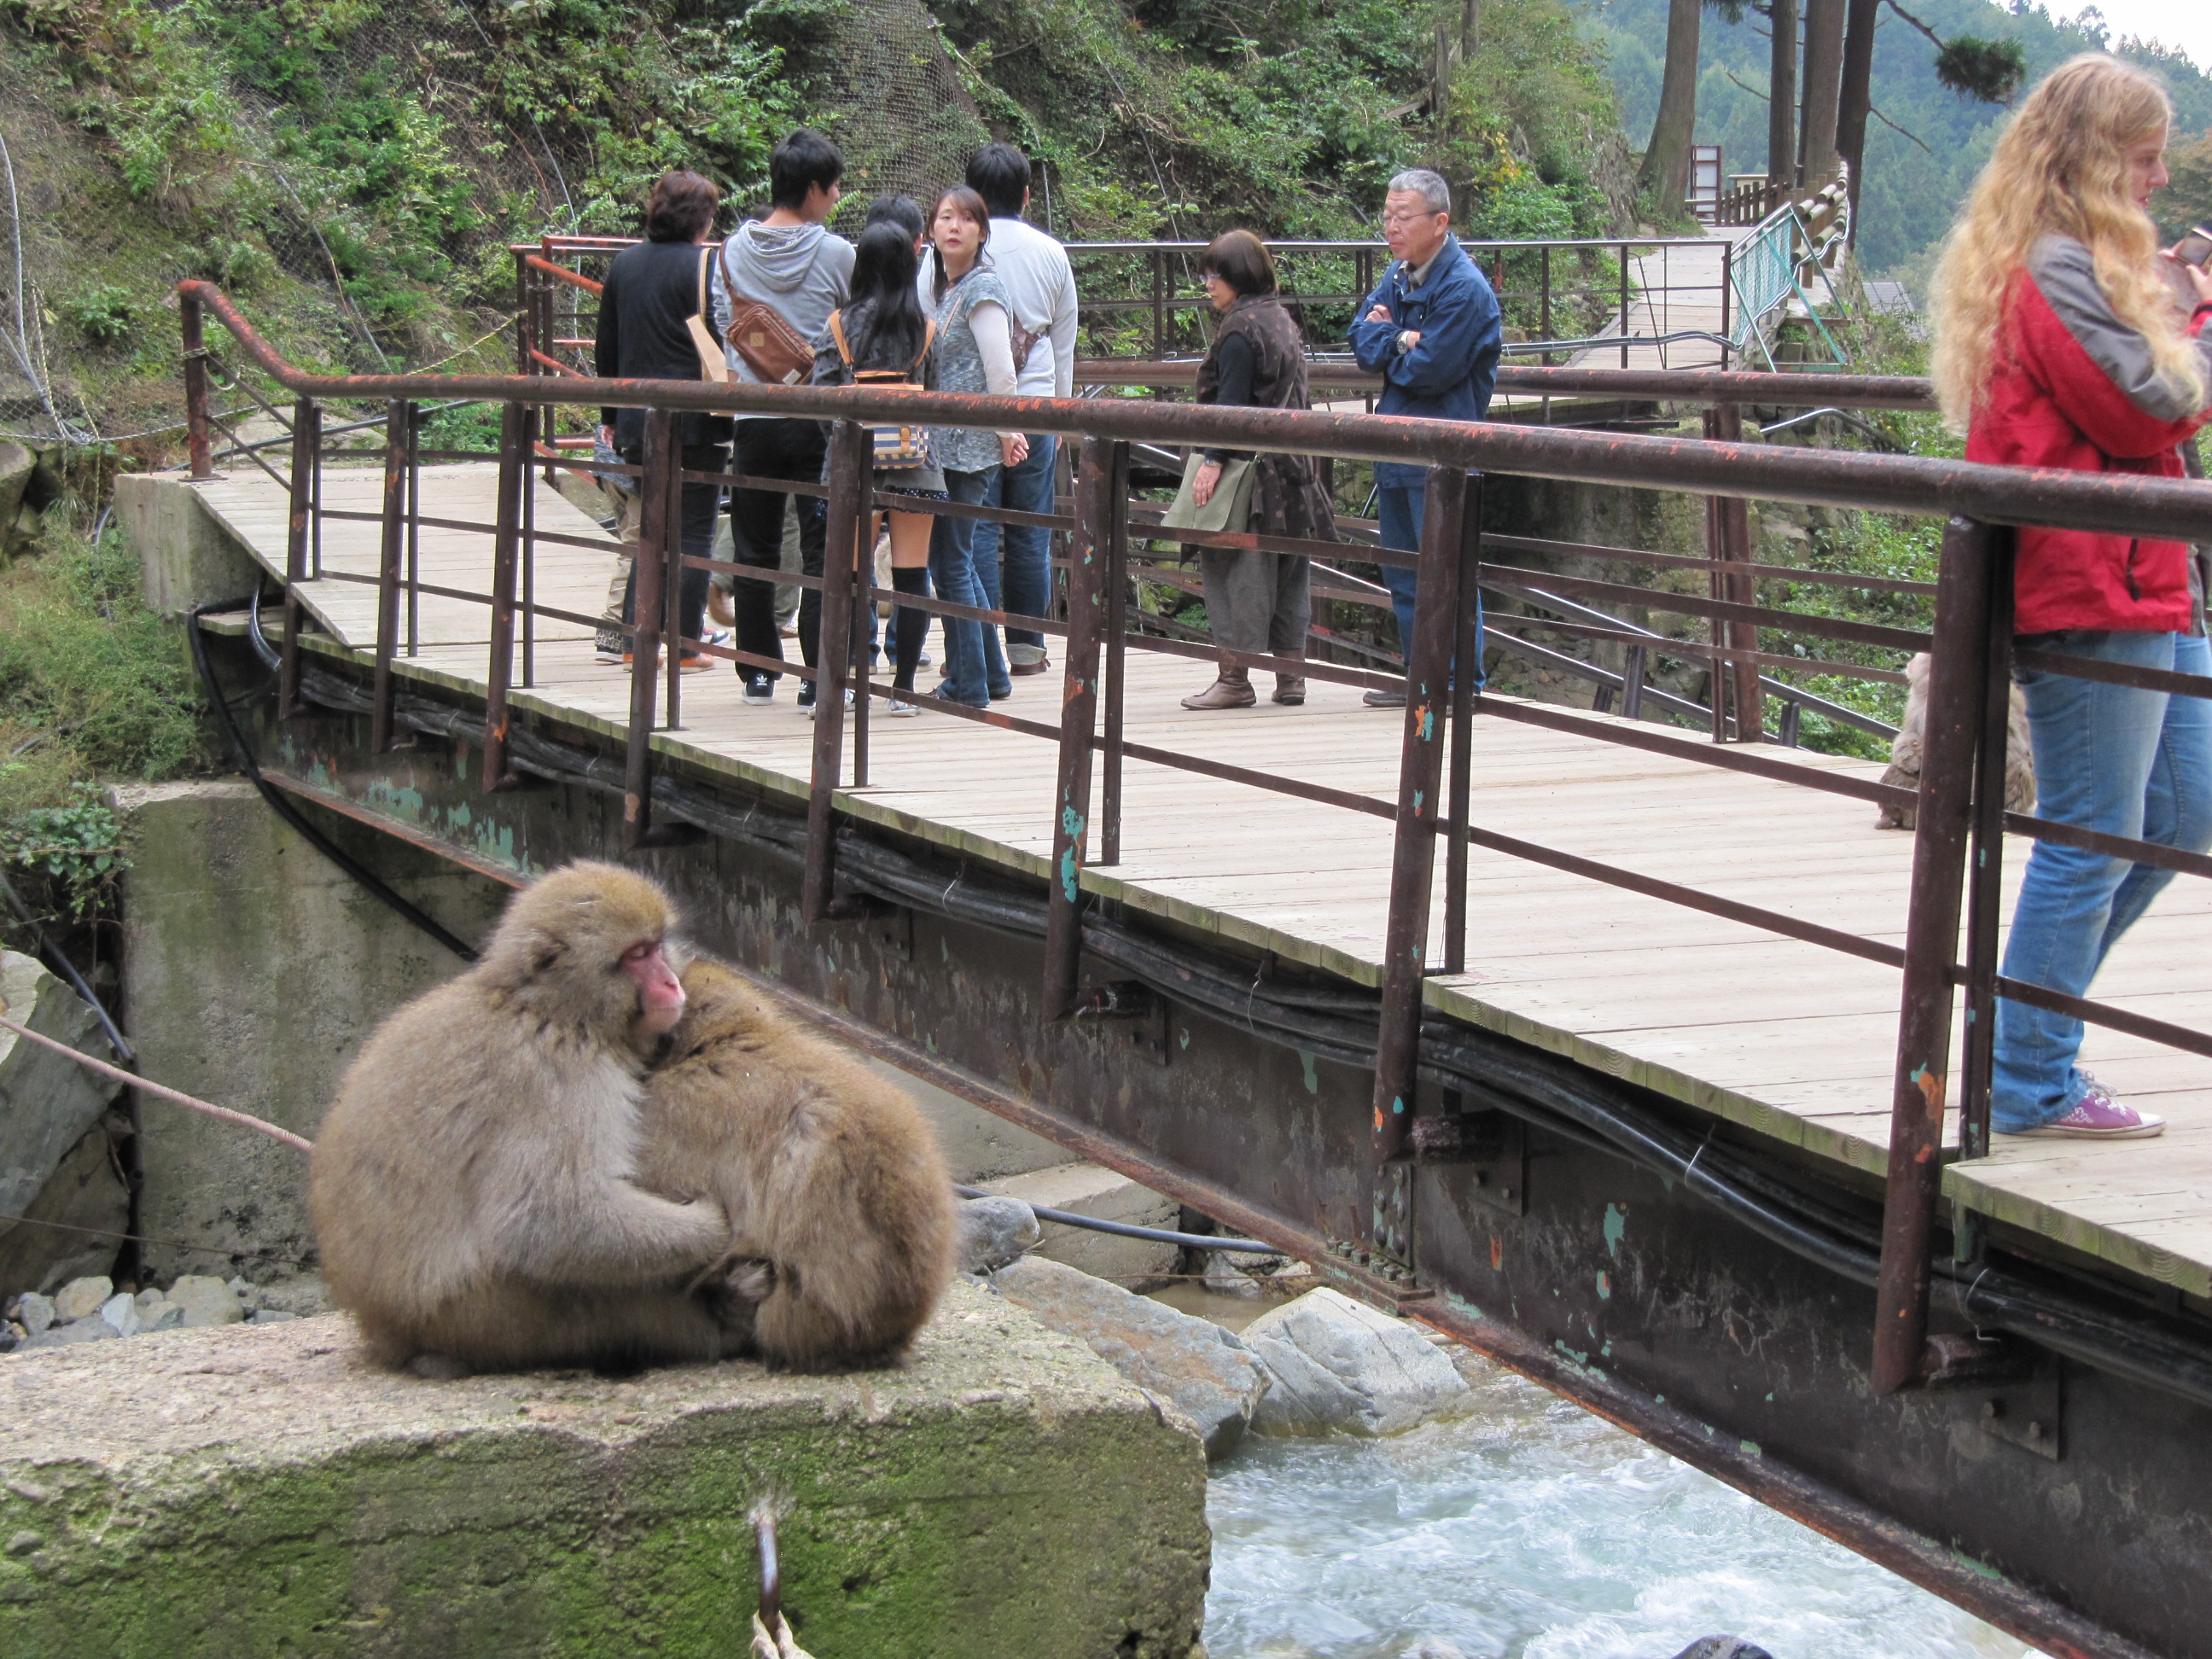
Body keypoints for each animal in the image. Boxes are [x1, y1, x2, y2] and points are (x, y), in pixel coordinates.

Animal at [309, 861, 741, 1377]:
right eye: (636, 956)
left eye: (657, 946)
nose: (672, 985)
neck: (551, 1011)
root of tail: (383, 1329)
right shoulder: (560, 1078)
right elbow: (544, 1219)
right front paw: (713, 1228)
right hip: (488, 1317)